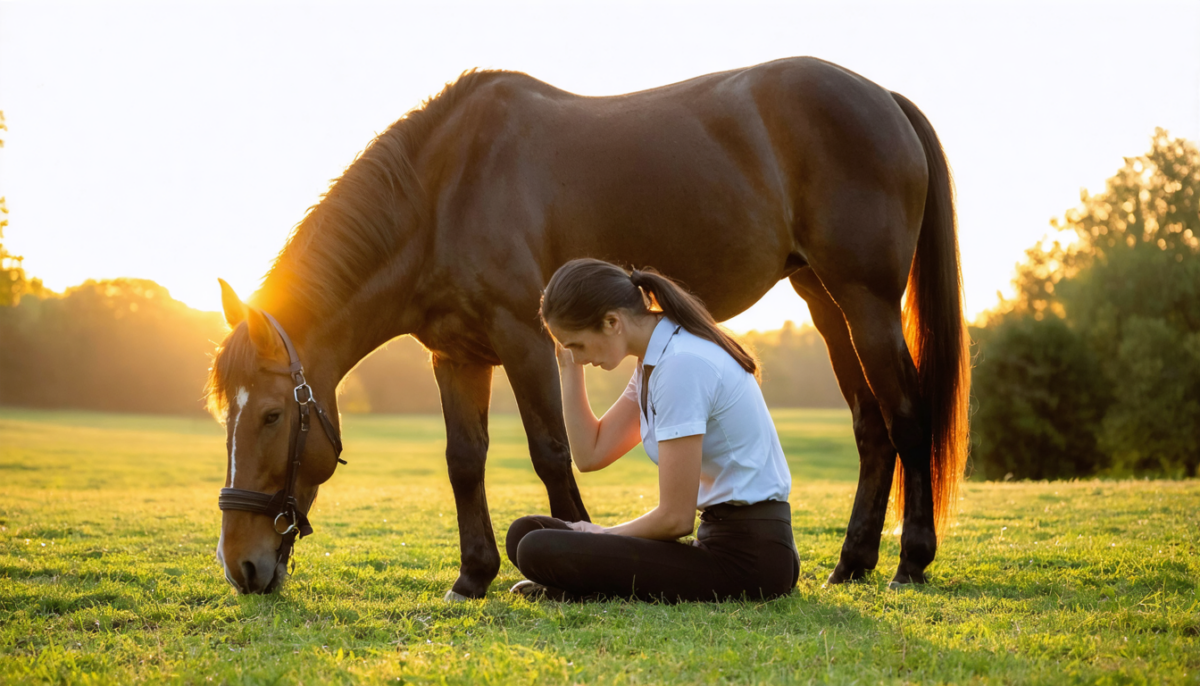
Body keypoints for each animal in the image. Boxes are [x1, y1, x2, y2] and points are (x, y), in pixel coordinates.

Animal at [207, 56, 969, 598]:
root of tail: (881, 97)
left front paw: (547, 562)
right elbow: (464, 460)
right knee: (871, 426)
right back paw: (852, 563)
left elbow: (549, 451)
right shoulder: (457, 355)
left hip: (867, 301)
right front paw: (473, 575)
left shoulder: (523, 340)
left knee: (906, 416)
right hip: (825, 301)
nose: (242, 566)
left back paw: (909, 562)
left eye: (272, 415)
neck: (445, 190)